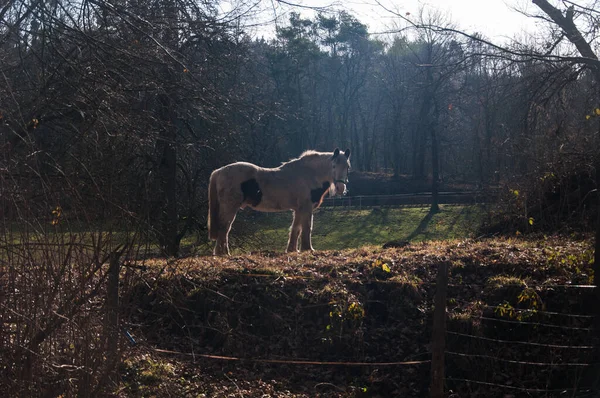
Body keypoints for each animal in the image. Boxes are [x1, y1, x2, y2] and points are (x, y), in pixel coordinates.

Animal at [209, 148, 352, 255]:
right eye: (333, 166)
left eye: (347, 167)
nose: (340, 188)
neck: (308, 175)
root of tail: (219, 171)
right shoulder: (306, 207)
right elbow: (307, 227)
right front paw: (308, 249)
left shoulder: (298, 209)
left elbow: (296, 229)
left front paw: (292, 250)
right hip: (230, 207)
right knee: (224, 228)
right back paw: (223, 253)